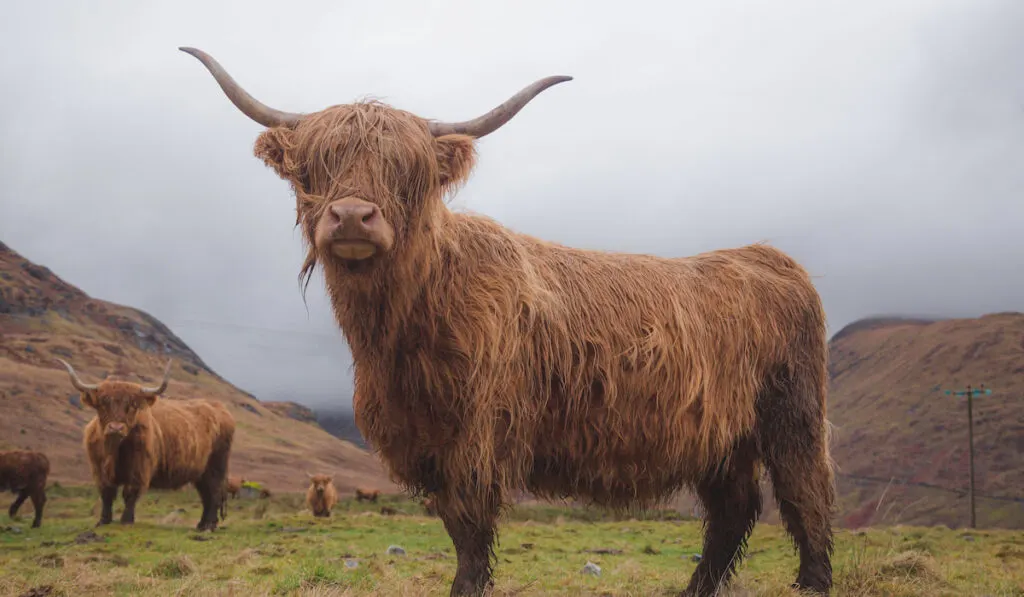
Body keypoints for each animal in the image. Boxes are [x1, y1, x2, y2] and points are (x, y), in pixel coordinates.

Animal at [58, 360, 237, 532]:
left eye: (132, 405)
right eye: (103, 402)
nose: (116, 427)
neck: (114, 450)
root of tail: (220, 408)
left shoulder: (139, 468)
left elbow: (130, 493)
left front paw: (126, 521)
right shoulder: (99, 469)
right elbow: (107, 494)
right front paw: (103, 521)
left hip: (216, 465)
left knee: (214, 492)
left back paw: (208, 526)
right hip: (200, 472)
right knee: (206, 494)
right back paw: (202, 525)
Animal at [184, 47, 835, 597]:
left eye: (409, 172)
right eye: (313, 169)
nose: (350, 217)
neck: (402, 326)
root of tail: (766, 255)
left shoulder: (477, 430)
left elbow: (470, 528)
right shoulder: (426, 437)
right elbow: (455, 524)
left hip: (792, 414)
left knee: (806, 496)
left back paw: (812, 584)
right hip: (722, 439)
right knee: (733, 510)